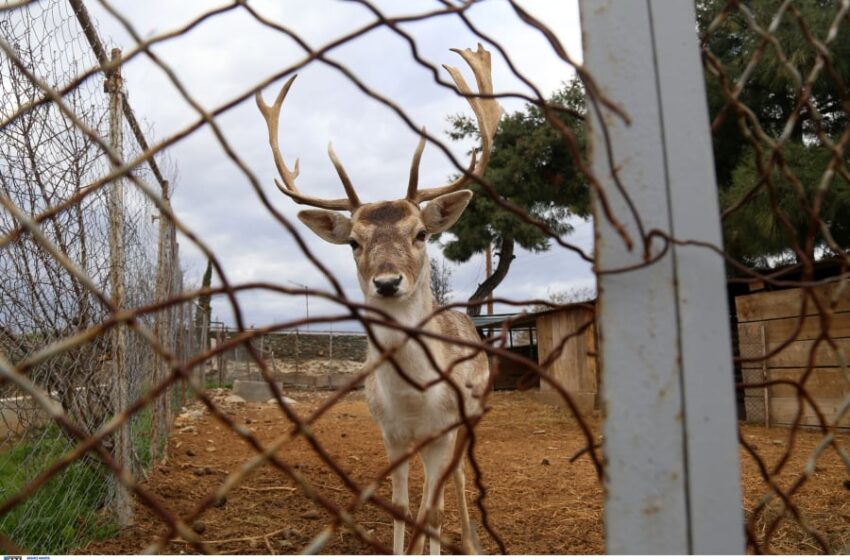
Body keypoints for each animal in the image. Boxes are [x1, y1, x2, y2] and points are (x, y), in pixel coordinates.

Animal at [255, 46, 500, 552]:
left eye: (421, 234)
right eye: (354, 242)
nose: (387, 282)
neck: (413, 399)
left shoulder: (443, 428)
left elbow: (434, 508)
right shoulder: (390, 432)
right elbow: (404, 507)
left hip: (469, 416)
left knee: (456, 482)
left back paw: (470, 540)